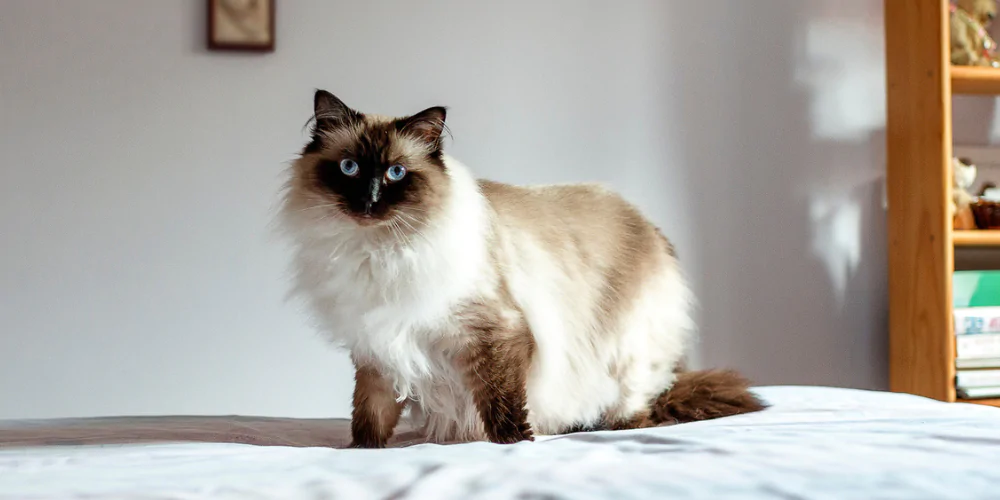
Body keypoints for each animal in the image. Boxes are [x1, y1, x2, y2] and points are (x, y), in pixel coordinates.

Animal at [278, 90, 760, 446]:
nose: (370, 201)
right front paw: (359, 450)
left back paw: (602, 425)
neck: (377, 252)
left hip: (627, 354)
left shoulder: (495, 333)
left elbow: (502, 403)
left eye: (396, 173)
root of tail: (648, 224)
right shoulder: (376, 347)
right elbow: (370, 415)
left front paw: (516, 444)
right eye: (349, 168)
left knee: (636, 408)